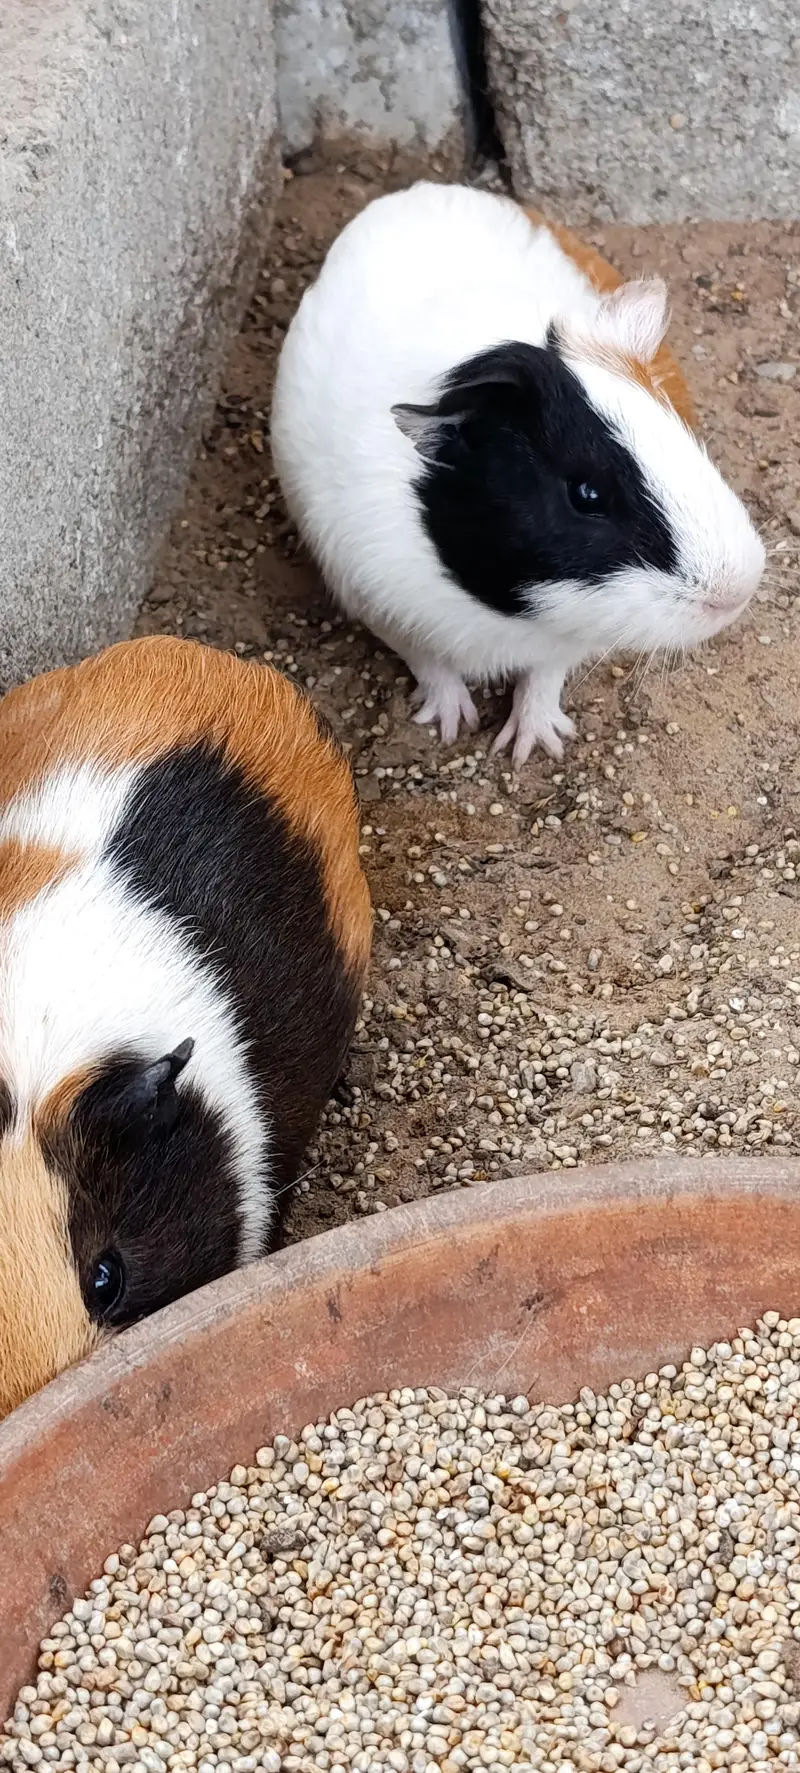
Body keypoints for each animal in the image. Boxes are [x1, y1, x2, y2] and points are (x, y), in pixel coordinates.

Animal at [271, 182, 765, 767]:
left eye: (683, 439)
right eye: (586, 494)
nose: (736, 592)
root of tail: (419, 189)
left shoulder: (563, 644)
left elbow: (543, 678)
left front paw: (533, 745)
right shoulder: (383, 605)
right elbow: (432, 667)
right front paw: (451, 726)